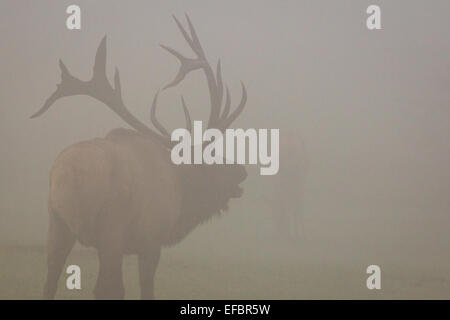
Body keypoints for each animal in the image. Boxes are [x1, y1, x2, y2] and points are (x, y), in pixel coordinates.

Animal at [31, 15, 248, 300]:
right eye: (212, 159)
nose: (242, 170)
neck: (181, 194)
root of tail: (68, 175)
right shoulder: (151, 239)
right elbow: (146, 287)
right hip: (111, 230)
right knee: (106, 288)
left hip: (56, 224)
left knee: (49, 282)